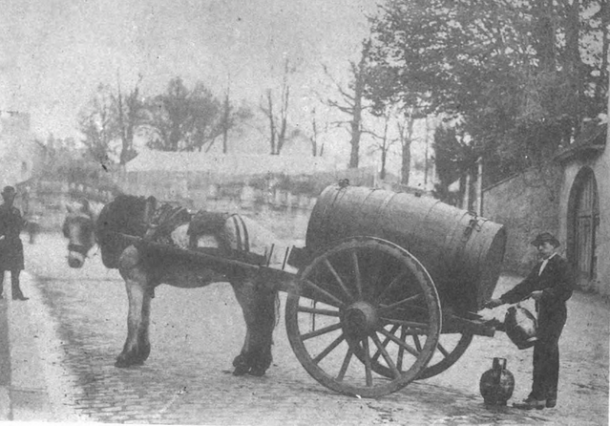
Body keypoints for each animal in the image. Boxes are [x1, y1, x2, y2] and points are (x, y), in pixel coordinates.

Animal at [61, 193, 280, 376]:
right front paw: (139, 354)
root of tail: (269, 239)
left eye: (86, 226)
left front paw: (125, 356)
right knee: (260, 323)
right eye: (66, 228)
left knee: (256, 322)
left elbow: (132, 319)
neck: (137, 229)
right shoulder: (145, 283)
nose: (73, 261)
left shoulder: (134, 280)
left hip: (245, 285)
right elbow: (144, 319)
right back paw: (253, 363)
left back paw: (248, 364)